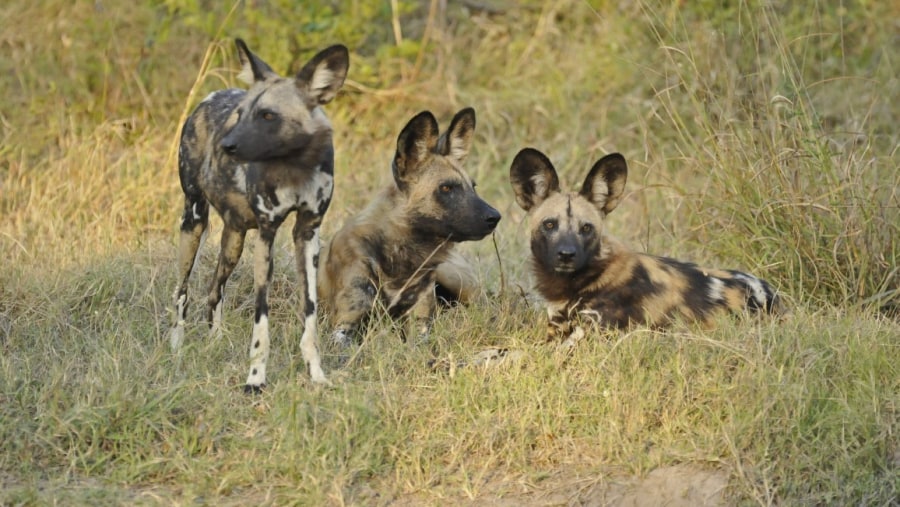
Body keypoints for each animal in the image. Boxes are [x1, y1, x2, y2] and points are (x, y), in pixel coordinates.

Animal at [167, 38, 350, 392]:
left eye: (267, 116)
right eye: (240, 115)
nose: (225, 145)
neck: (293, 166)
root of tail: (210, 96)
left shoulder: (307, 233)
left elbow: (310, 313)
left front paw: (316, 374)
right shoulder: (267, 233)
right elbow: (261, 320)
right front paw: (255, 379)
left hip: (234, 240)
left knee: (214, 290)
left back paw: (215, 341)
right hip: (193, 222)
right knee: (182, 291)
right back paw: (176, 347)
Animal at [318, 107, 502, 346]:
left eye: (473, 187)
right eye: (446, 188)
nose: (495, 217)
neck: (400, 258)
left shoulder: (420, 325)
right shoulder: (343, 326)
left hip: (456, 280)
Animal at [510, 148, 784, 342]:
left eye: (586, 228)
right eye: (549, 224)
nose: (566, 255)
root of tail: (772, 295)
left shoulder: (586, 337)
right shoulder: (556, 328)